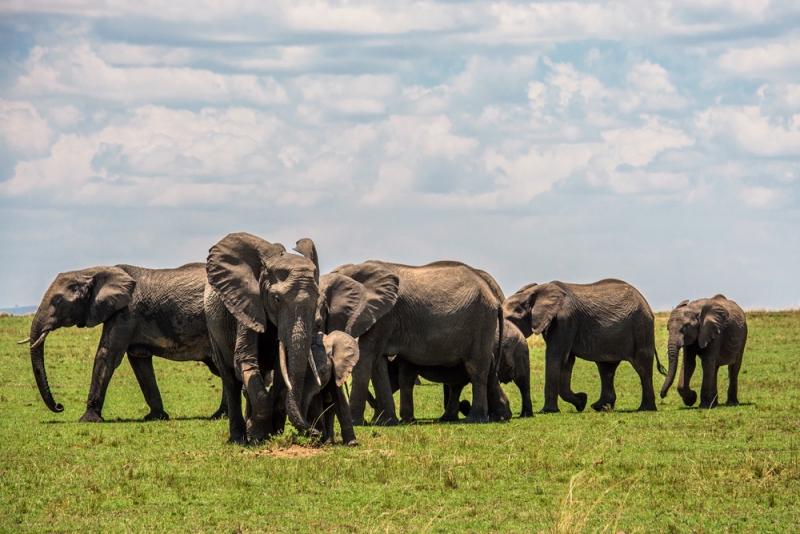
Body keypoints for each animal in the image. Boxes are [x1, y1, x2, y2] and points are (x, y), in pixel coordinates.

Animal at [19, 262, 225, 422]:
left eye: (59, 301)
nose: (60, 407)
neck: (91, 271)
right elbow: (139, 363)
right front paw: (155, 417)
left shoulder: (126, 313)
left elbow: (106, 355)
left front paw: (88, 420)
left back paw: (219, 416)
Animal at [334, 260, 504, 428]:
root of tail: (494, 297)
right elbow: (378, 362)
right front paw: (386, 422)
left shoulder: (385, 315)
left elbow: (367, 357)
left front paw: (355, 422)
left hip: (481, 321)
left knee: (476, 369)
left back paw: (474, 420)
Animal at [500, 280, 664, 414]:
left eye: (510, 319)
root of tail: (646, 303)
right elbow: (567, 361)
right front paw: (581, 402)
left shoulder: (565, 321)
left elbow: (556, 357)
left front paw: (548, 411)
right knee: (606, 368)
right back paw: (599, 407)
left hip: (641, 328)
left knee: (642, 367)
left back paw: (645, 409)